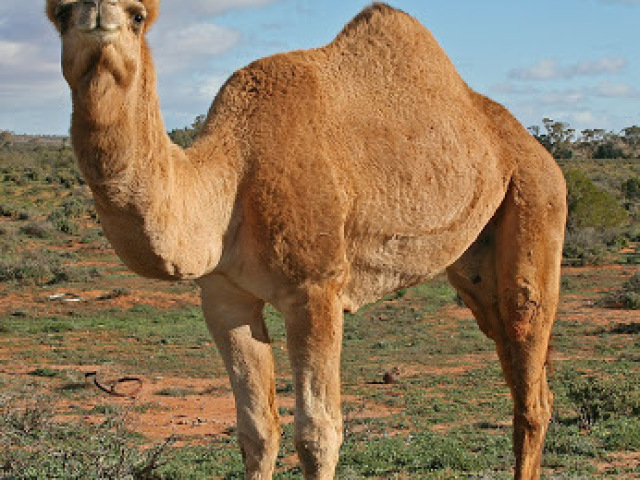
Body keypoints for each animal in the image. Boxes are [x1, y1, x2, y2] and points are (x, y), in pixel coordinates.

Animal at [43, 1, 564, 478]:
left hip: (536, 198)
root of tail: (534, 148)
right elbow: (256, 430)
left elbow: (318, 433)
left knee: (528, 362)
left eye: (137, 16)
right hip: (475, 262)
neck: (233, 175)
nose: (98, 17)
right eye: (61, 13)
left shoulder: (316, 289)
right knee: (517, 361)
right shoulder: (224, 297)